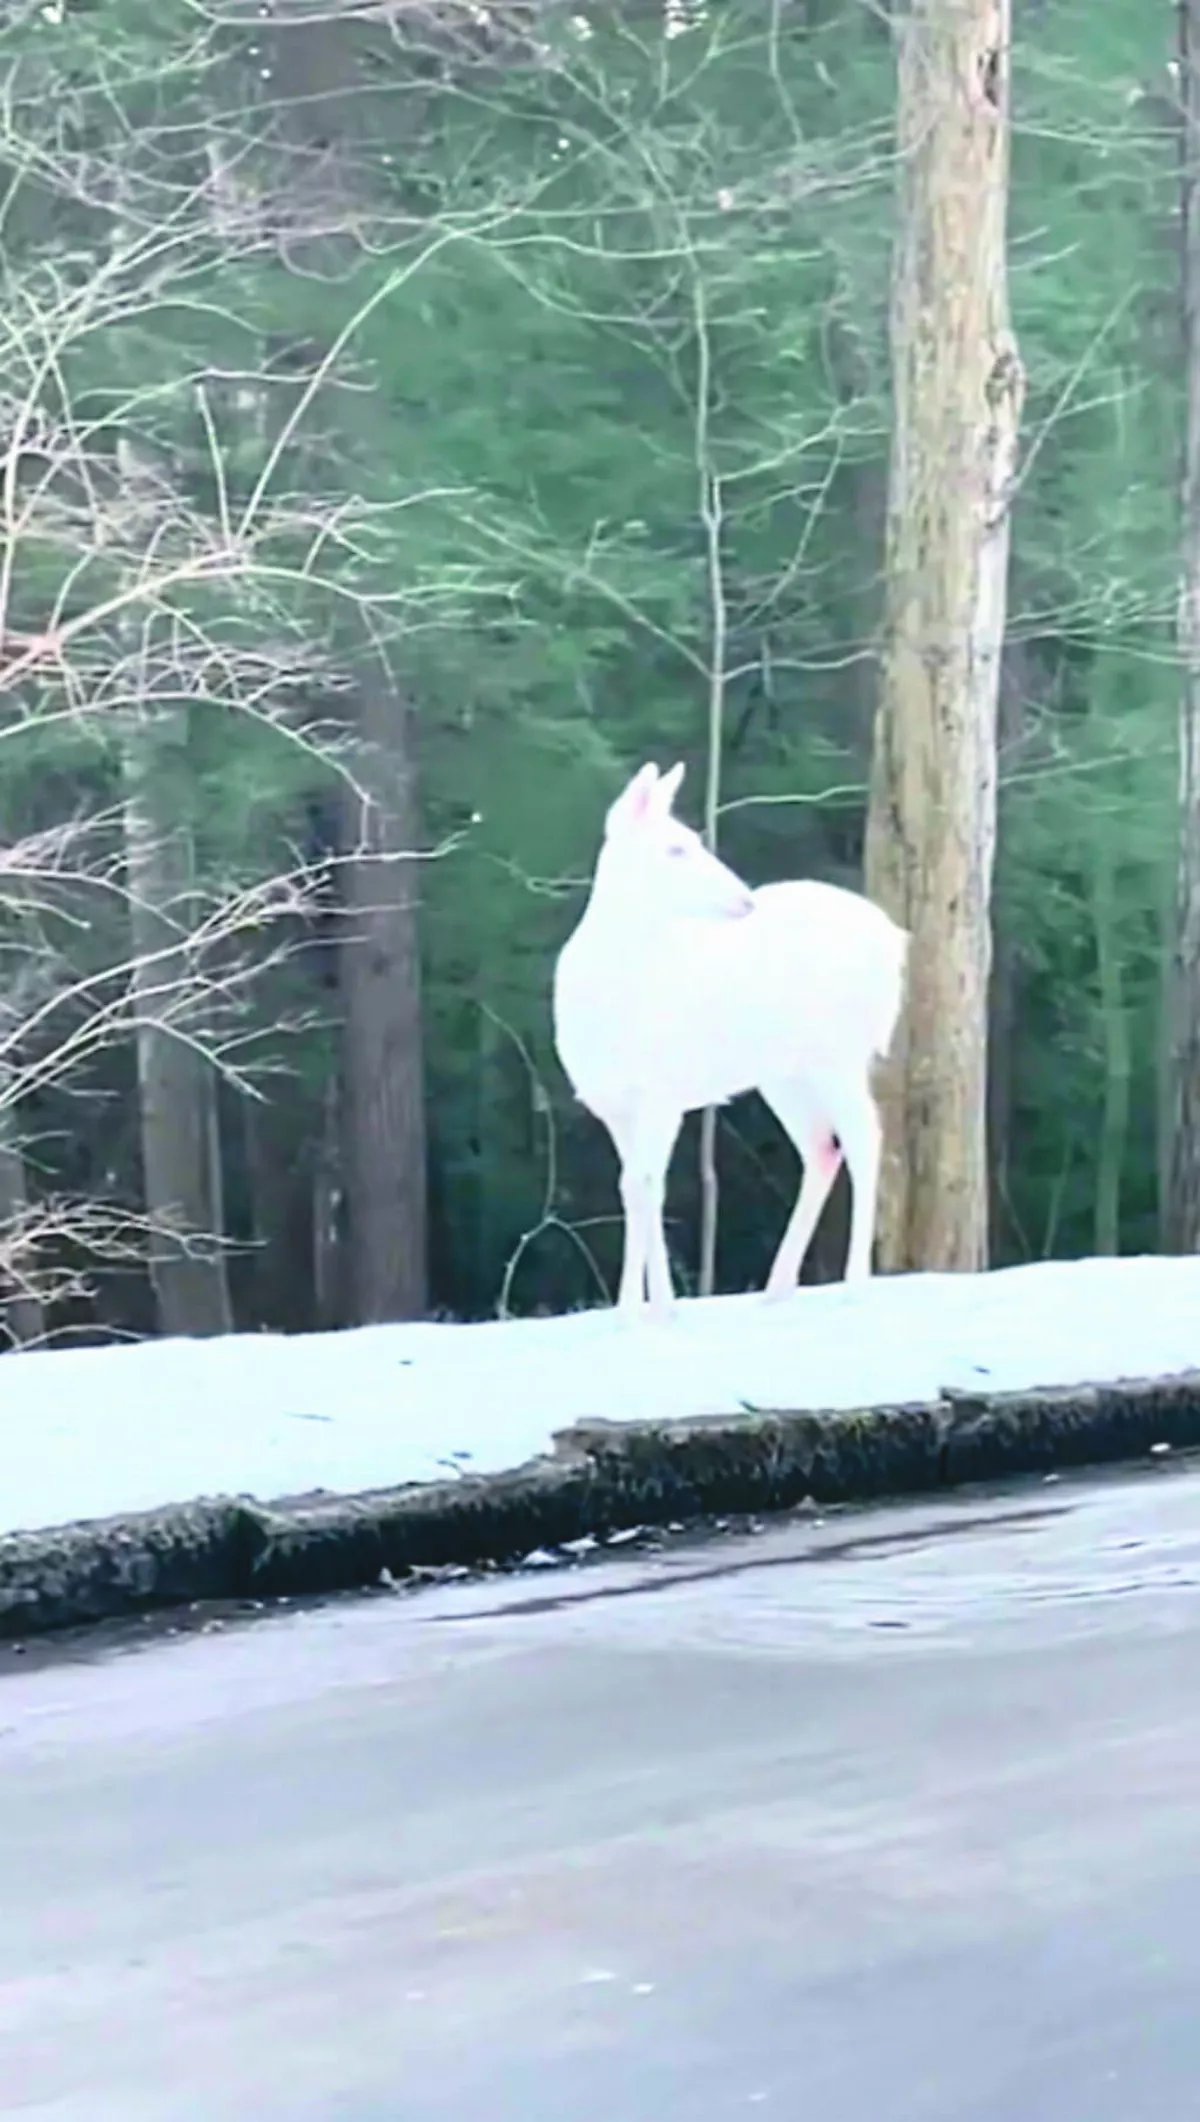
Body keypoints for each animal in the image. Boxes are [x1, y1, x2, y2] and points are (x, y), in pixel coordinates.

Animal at [552, 760, 908, 1322]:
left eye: (696, 839)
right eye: (675, 848)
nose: (745, 899)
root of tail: (895, 943)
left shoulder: (661, 1091)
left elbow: (639, 1185)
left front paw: (631, 1311)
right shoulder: (614, 1104)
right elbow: (641, 1187)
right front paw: (662, 1307)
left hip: (839, 1052)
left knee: (864, 1138)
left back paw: (855, 1284)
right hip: (787, 1073)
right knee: (820, 1148)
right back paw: (777, 1288)